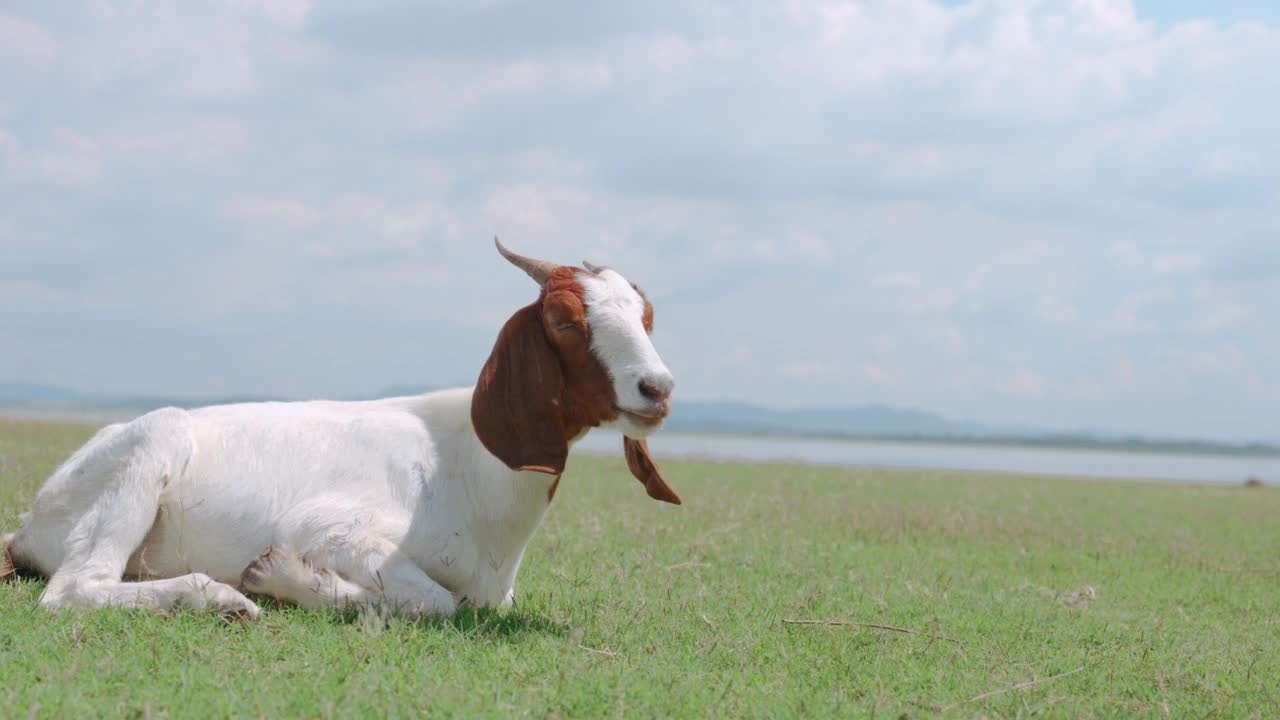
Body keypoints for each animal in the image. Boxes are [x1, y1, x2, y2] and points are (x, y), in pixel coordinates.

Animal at [2, 237, 680, 617]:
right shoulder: (334, 531)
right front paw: (278, 577)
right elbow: (435, 602)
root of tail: (29, 524)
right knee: (74, 590)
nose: (658, 389)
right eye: (565, 320)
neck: (471, 471)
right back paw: (219, 599)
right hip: (151, 449)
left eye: (645, 315)